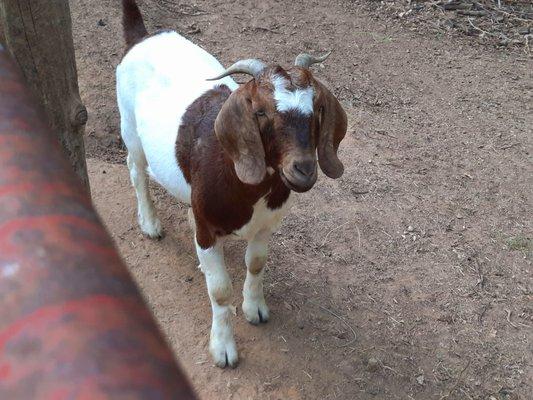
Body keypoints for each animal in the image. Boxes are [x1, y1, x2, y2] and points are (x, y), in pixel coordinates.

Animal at [117, 0, 348, 368]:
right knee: (136, 170)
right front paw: (223, 347)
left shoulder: (266, 225)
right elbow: (219, 290)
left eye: (316, 110)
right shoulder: (208, 230)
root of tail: (143, 36)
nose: (303, 169)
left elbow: (256, 263)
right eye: (261, 112)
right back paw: (150, 224)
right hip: (130, 127)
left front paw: (255, 308)